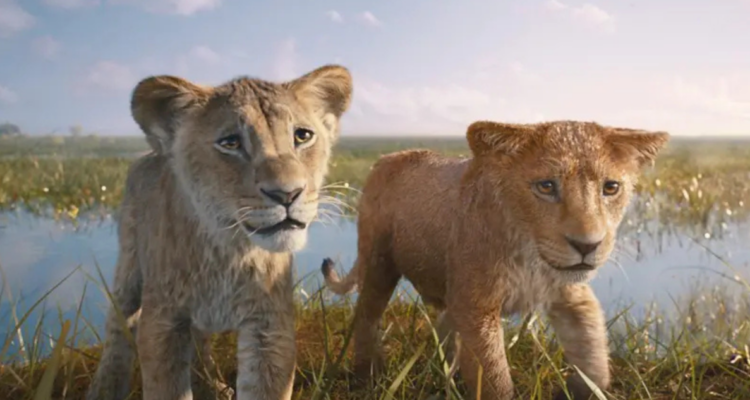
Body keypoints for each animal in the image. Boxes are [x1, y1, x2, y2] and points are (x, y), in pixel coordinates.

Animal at [86, 64, 353, 400]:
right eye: (230, 143)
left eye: (302, 136)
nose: (288, 194)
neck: (229, 250)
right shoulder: (163, 321)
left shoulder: (269, 325)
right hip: (129, 266)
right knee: (118, 326)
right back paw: (104, 388)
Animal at [321, 120, 669, 400]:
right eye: (546, 186)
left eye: (611, 188)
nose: (588, 245)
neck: (530, 255)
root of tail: (387, 157)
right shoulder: (477, 307)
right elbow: (495, 378)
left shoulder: (570, 294)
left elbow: (594, 353)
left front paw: (576, 389)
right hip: (378, 260)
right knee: (367, 315)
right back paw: (367, 375)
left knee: (445, 326)